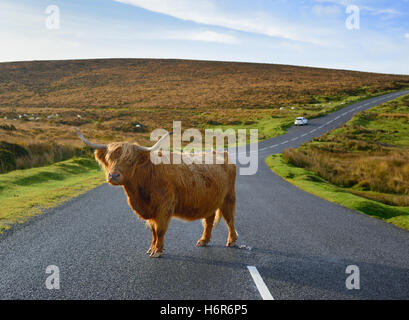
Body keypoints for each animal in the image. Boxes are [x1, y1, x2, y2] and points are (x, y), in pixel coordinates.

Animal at [74, 127, 236, 258]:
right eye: (109, 159)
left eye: (131, 161)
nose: (113, 176)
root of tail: (223, 153)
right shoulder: (150, 209)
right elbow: (153, 230)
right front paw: (152, 248)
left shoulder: (164, 206)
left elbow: (160, 230)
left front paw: (157, 251)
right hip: (210, 200)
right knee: (209, 220)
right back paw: (203, 240)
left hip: (229, 197)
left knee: (230, 219)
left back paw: (232, 241)